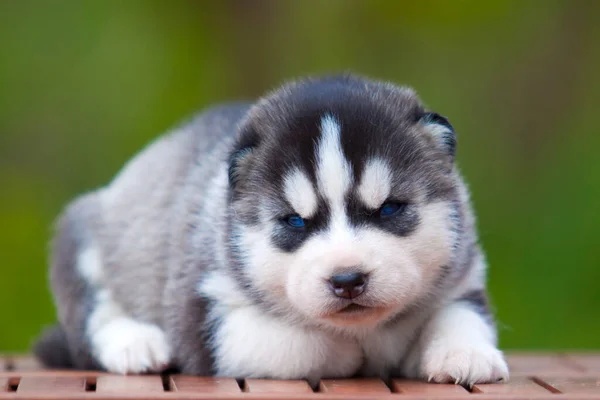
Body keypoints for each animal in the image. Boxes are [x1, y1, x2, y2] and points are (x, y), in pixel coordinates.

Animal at [35, 73, 508, 386]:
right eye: (295, 221)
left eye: (389, 208)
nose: (347, 280)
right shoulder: (203, 317)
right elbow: (307, 343)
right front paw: (355, 351)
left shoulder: (462, 280)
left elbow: (461, 316)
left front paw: (466, 353)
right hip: (81, 233)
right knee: (93, 315)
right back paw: (136, 344)